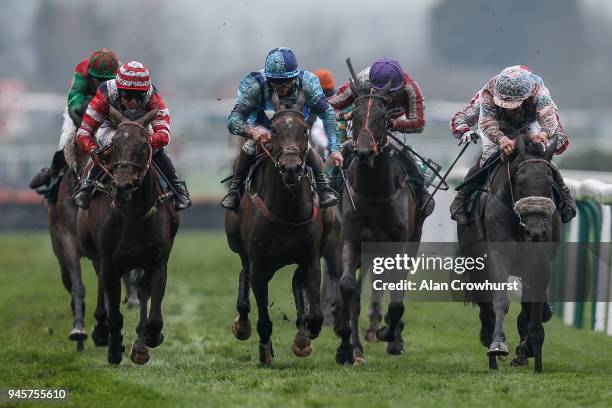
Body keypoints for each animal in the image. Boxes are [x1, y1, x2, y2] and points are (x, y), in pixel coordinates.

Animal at [75, 107, 178, 364]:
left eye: (143, 145)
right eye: (114, 144)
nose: (123, 186)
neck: (133, 215)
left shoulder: (157, 261)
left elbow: (154, 315)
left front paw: (146, 340)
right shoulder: (110, 263)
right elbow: (114, 311)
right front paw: (113, 347)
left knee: (141, 292)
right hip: (94, 253)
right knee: (101, 284)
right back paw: (102, 330)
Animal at [225, 91, 332, 364]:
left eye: (305, 130)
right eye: (273, 130)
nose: (291, 168)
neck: (287, 210)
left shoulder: (311, 257)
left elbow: (315, 314)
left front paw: (305, 337)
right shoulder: (259, 263)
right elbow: (263, 317)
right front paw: (265, 350)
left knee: (296, 281)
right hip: (239, 245)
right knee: (244, 272)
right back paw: (242, 324)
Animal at [334, 79, 426, 364]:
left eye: (382, 116)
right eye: (355, 114)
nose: (364, 152)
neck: (374, 193)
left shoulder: (398, 245)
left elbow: (396, 296)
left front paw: (390, 335)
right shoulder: (351, 238)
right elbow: (348, 287)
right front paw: (349, 349)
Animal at [460, 135, 560, 372]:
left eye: (549, 182)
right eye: (520, 181)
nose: (535, 230)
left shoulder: (539, 258)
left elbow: (536, 303)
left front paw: (531, 345)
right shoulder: (499, 254)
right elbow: (500, 300)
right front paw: (497, 344)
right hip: (476, 263)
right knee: (485, 306)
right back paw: (489, 343)